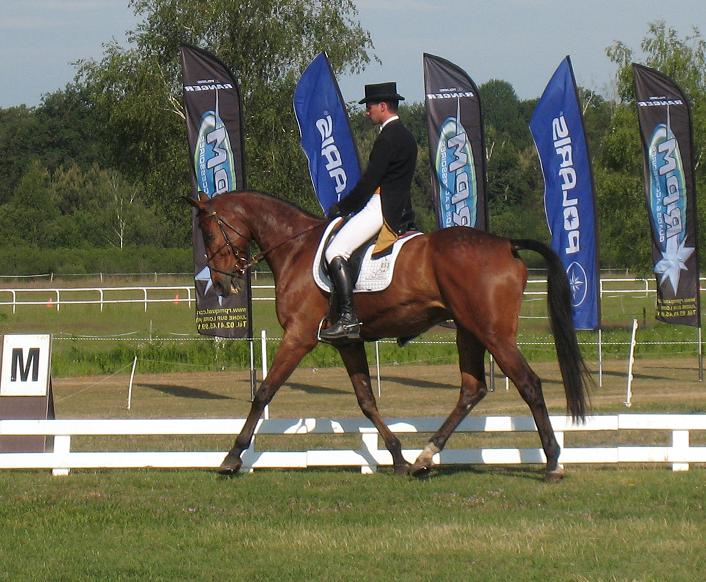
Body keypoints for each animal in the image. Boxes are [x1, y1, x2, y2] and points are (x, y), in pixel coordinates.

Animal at [186, 189, 588, 482]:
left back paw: (553, 462)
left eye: (208, 232)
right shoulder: (348, 342)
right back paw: (424, 458)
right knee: (472, 390)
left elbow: (264, 392)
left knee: (528, 384)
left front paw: (231, 457)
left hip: (493, 334)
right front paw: (396, 456)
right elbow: (367, 401)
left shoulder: (299, 337)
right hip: (469, 332)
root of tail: (506, 243)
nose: (220, 284)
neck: (295, 248)